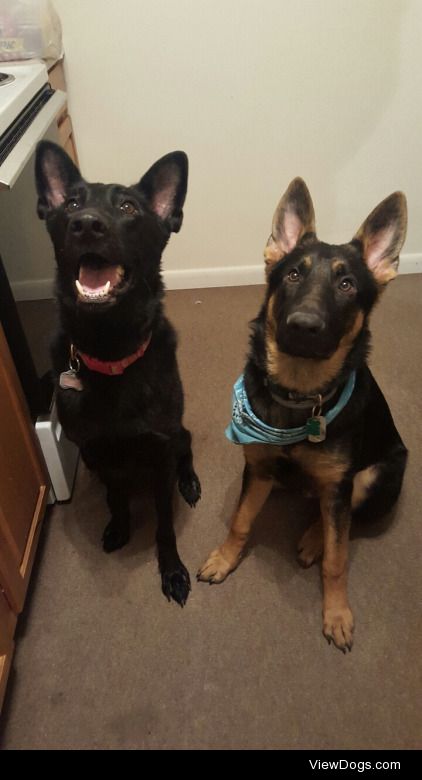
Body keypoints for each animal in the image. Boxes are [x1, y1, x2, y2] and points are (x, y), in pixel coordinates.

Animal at [35, 140, 200, 608]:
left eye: (128, 207)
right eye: (71, 203)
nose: (86, 225)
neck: (111, 353)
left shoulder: (160, 451)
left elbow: (164, 524)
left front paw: (172, 570)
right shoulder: (96, 453)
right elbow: (115, 497)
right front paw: (121, 525)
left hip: (179, 434)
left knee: (187, 450)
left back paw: (190, 482)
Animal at [199, 178, 408, 652]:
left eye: (347, 284)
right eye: (293, 274)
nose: (303, 326)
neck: (299, 396)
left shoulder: (340, 485)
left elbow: (338, 558)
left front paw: (337, 612)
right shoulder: (257, 468)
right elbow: (240, 520)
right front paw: (225, 558)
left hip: (374, 475)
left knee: (343, 519)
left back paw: (315, 540)